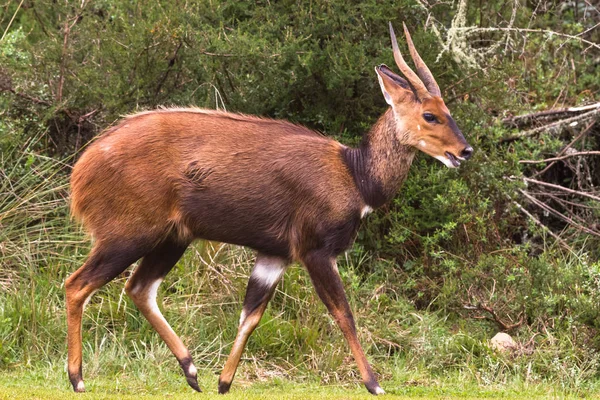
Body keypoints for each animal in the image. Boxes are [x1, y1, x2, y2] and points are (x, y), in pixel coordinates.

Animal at [67, 23, 474, 396]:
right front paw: (374, 384)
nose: (465, 151)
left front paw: (224, 382)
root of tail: (82, 170)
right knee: (77, 284)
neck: (355, 176)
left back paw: (192, 371)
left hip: (173, 237)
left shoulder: (274, 255)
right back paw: (78, 379)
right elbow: (344, 313)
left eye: (447, 110)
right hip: (128, 234)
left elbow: (250, 316)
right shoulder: (315, 250)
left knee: (139, 288)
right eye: (430, 115)